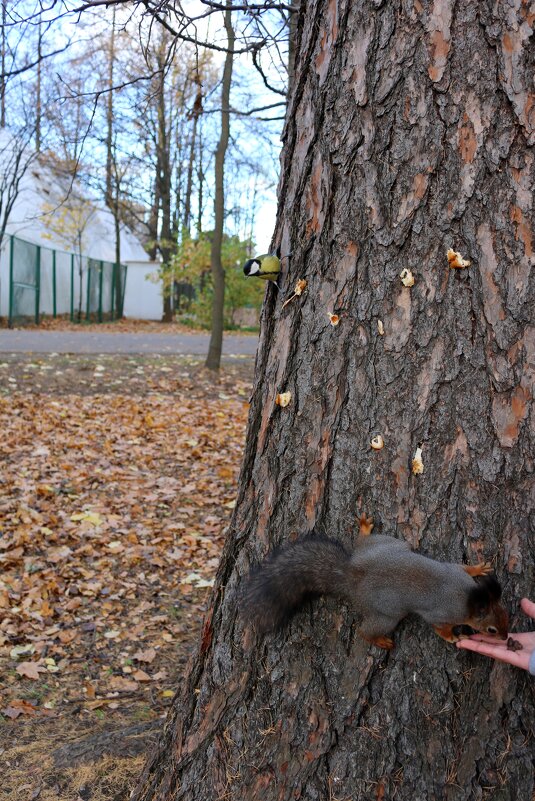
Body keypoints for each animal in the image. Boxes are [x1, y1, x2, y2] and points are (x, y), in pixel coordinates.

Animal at [243, 512, 510, 648]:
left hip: (387, 545)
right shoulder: (441, 614)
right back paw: (380, 641)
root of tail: (352, 574)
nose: (506, 638)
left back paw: (364, 529)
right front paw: (454, 637)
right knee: (365, 631)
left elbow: (462, 567)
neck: (468, 597)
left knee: (363, 542)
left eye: (506, 612)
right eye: (491, 629)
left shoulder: (455, 572)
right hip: (386, 615)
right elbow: (439, 628)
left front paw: (478, 568)